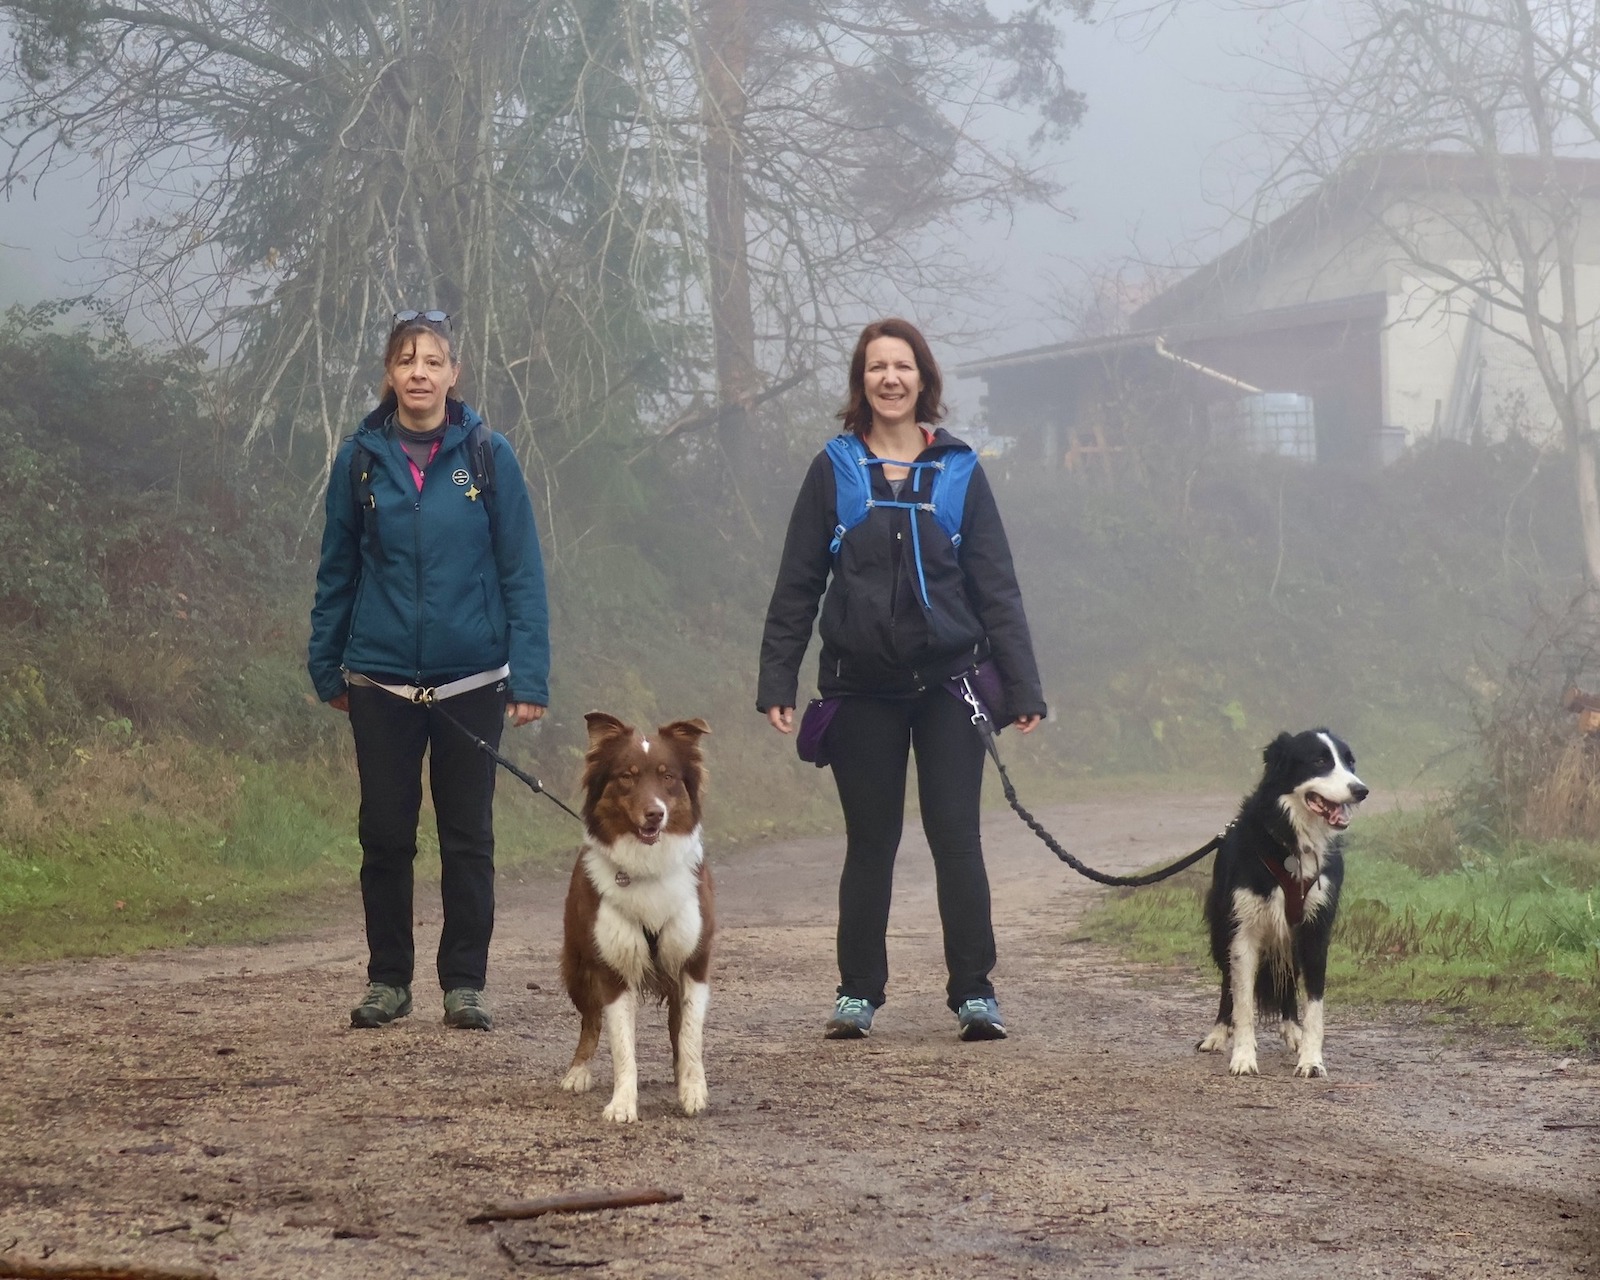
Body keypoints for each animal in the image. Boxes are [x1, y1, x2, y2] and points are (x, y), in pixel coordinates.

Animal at [559, 711, 714, 1123]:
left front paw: (693, 1090)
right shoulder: (613, 969)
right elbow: (622, 1047)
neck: (647, 868)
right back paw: (577, 1071)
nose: (655, 814)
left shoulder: (694, 963)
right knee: (589, 1021)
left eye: (667, 776)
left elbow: (689, 1035)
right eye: (627, 777)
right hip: (578, 967)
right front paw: (622, 1104)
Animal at [1197, 729, 1368, 1078]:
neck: (1293, 843)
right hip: (1222, 930)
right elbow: (1243, 1002)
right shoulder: (1244, 933)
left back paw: (1292, 1030)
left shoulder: (1315, 931)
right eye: (1320, 761)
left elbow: (1315, 1005)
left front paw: (1311, 1060)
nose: (1361, 791)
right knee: (1227, 984)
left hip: (1289, 940)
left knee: (1288, 982)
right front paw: (1243, 1057)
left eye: (1350, 763)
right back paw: (1218, 1033)